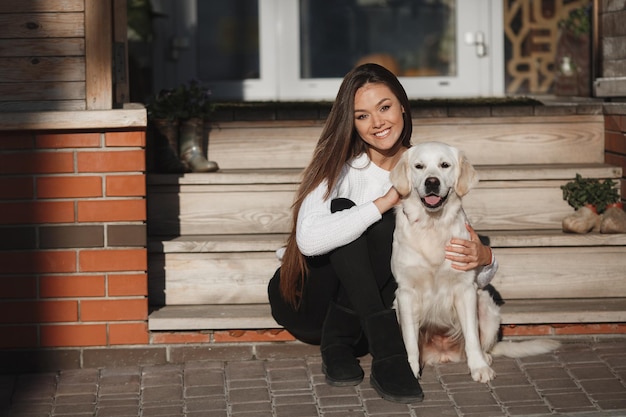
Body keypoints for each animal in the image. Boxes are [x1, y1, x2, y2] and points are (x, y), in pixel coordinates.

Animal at [388, 141, 560, 382]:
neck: (433, 225)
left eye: (444, 165)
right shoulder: (405, 292)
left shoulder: (466, 289)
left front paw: (479, 367)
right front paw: (410, 370)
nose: (432, 182)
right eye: (419, 166)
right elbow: (410, 342)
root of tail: (443, 354)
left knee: (483, 344)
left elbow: (471, 337)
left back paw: (485, 358)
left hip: (486, 305)